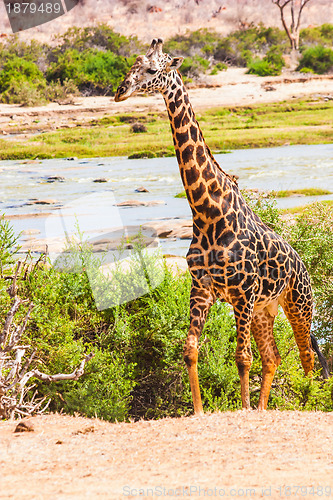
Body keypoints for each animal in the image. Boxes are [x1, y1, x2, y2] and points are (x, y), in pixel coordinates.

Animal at [114, 38, 326, 414]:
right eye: (131, 66)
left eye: (153, 70)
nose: (120, 91)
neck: (207, 213)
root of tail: (303, 265)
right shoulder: (202, 288)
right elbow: (190, 351)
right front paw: (199, 411)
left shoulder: (242, 292)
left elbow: (242, 359)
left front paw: (242, 410)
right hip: (264, 310)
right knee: (273, 357)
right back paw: (263, 408)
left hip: (299, 305)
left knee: (307, 359)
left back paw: (298, 405)